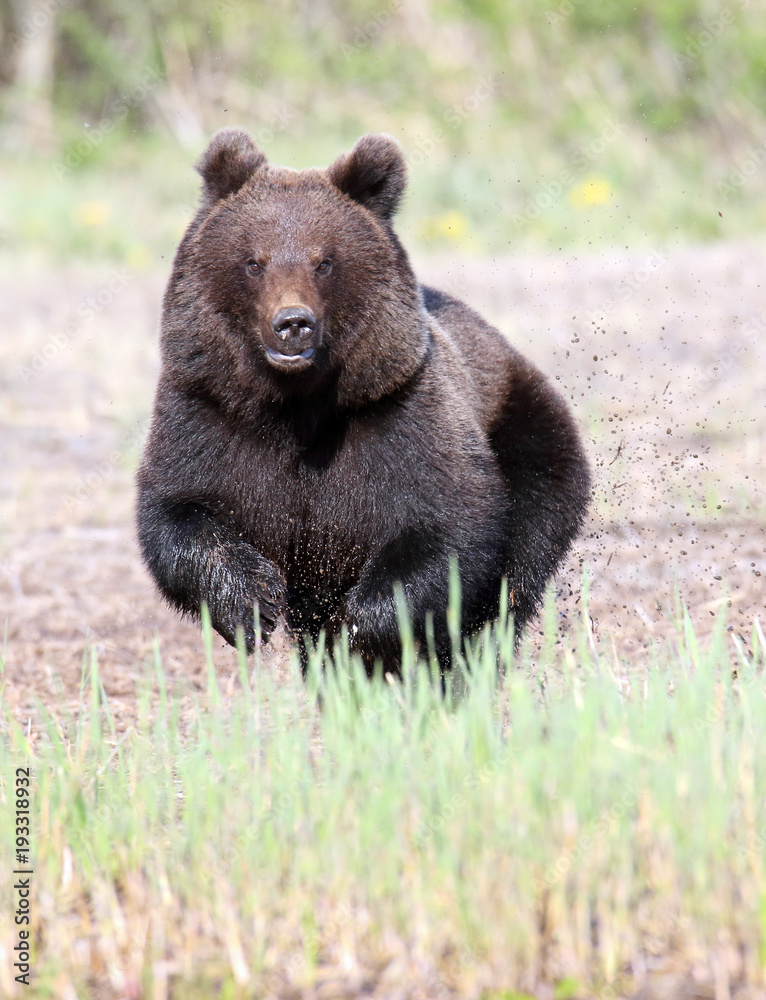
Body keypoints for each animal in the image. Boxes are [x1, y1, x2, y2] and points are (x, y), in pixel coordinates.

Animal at [136, 128, 590, 674]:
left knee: (512, 577)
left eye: (324, 261)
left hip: (528, 437)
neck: (296, 407)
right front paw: (249, 601)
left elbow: (446, 525)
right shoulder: (208, 412)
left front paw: (363, 631)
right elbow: (177, 512)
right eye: (254, 262)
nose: (293, 323)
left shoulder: (397, 415)